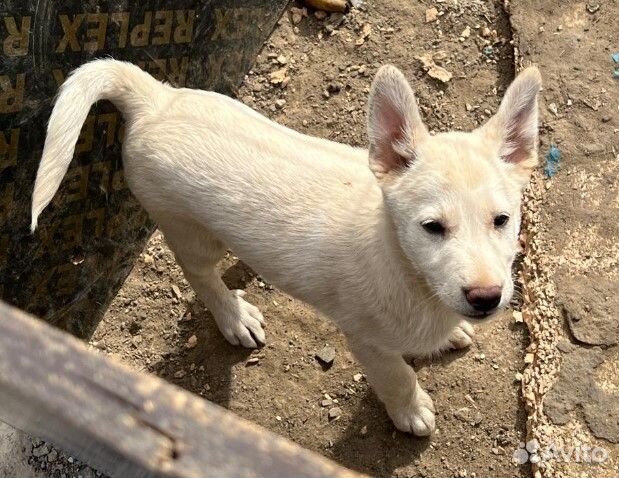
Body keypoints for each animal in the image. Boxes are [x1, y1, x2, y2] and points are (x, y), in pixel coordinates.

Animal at [31, 58, 540, 436]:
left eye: (502, 221)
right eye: (432, 227)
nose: (485, 298)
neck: (401, 262)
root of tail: (155, 100)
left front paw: (450, 333)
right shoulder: (367, 341)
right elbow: (398, 377)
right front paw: (411, 411)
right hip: (189, 231)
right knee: (201, 276)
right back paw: (234, 318)